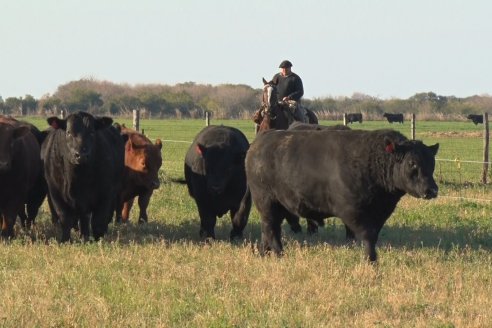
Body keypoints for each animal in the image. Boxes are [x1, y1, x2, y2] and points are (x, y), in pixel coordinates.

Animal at [41, 111, 125, 242]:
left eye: (92, 132)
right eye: (68, 132)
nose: (81, 155)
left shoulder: (105, 194)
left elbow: (98, 221)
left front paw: (98, 241)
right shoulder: (55, 193)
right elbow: (65, 218)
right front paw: (65, 240)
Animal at [244, 128, 440, 262]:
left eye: (432, 162)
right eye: (412, 163)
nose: (431, 190)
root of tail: (259, 142)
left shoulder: (380, 213)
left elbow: (374, 235)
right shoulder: (352, 212)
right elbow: (368, 236)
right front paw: (371, 261)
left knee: (268, 229)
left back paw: (265, 253)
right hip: (266, 201)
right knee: (271, 228)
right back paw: (279, 254)